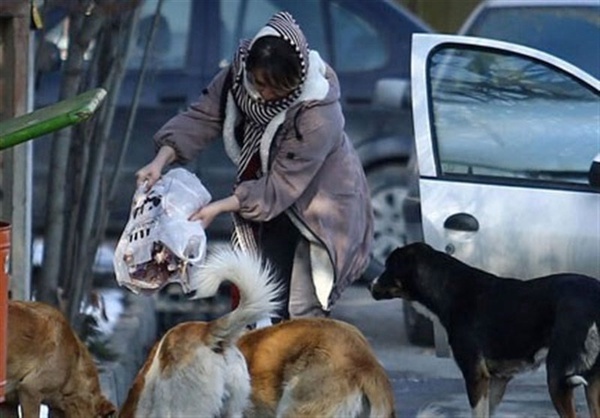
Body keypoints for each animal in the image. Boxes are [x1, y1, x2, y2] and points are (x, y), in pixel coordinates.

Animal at [370, 242, 600, 418]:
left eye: (388, 267)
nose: (369, 285)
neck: (449, 289)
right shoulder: (497, 380)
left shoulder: (475, 376)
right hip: (592, 384)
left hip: (558, 378)